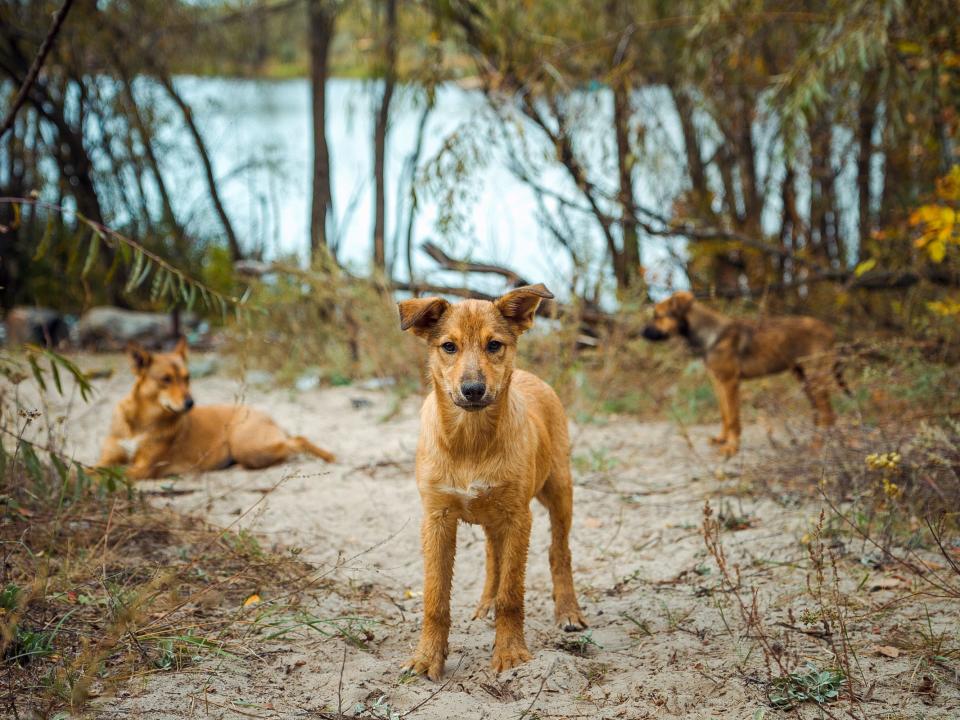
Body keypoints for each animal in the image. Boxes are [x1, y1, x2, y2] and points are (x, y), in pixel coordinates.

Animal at [97, 338, 336, 478]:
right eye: (166, 379)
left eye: (187, 378)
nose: (190, 403)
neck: (141, 422)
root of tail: (269, 417)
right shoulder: (108, 459)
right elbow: (94, 469)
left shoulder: (141, 468)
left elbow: (99, 475)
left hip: (247, 446)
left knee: (297, 442)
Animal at [396, 282, 584, 680]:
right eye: (449, 346)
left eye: (494, 345)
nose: (472, 389)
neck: (470, 442)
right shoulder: (436, 519)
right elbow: (435, 597)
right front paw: (427, 657)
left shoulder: (518, 516)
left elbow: (513, 593)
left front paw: (510, 652)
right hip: (493, 515)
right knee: (492, 556)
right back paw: (486, 605)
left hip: (559, 490)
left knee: (559, 552)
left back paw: (568, 612)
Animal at [640, 292, 844, 456]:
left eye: (658, 316)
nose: (641, 333)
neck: (711, 335)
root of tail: (831, 330)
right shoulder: (718, 382)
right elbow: (724, 414)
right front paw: (722, 439)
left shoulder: (730, 382)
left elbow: (732, 418)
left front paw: (731, 447)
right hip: (803, 377)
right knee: (820, 413)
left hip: (815, 378)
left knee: (828, 415)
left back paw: (818, 446)